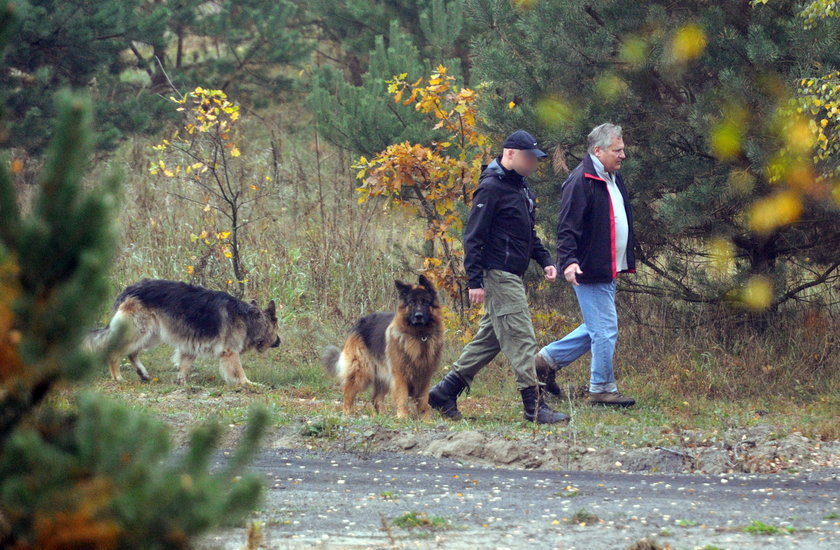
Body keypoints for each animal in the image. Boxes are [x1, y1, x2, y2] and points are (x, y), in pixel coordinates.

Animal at [87, 280, 280, 384]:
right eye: (277, 328)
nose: (279, 341)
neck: (248, 317)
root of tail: (128, 290)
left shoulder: (189, 348)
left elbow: (184, 366)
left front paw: (181, 382)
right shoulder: (230, 352)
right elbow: (239, 372)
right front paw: (250, 384)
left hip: (151, 335)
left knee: (132, 353)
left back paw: (143, 374)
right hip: (139, 332)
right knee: (114, 352)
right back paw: (118, 377)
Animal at [320, 274, 442, 420]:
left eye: (425, 302)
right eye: (412, 302)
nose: (419, 316)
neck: (419, 336)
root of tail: (360, 322)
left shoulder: (425, 375)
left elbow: (423, 400)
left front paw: (425, 419)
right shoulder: (399, 374)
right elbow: (402, 397)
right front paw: (403, 417)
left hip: (382, 374)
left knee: (376, 398)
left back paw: (383, 416)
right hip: (362, 370)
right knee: (349, 391)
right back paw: (348, 412)